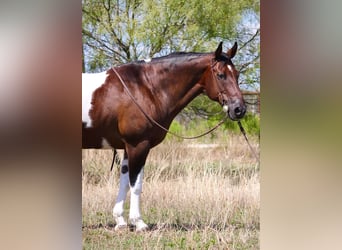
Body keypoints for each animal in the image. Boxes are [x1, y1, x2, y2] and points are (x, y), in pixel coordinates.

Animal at [81, 42, 247, 231]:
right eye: (221, 75)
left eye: (237, 74)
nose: (239, 109)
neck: (145, 88)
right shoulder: (138, 145)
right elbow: (135, 184)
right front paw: (138, 222)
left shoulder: (127, 147)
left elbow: (124, 182)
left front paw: (120, 221)